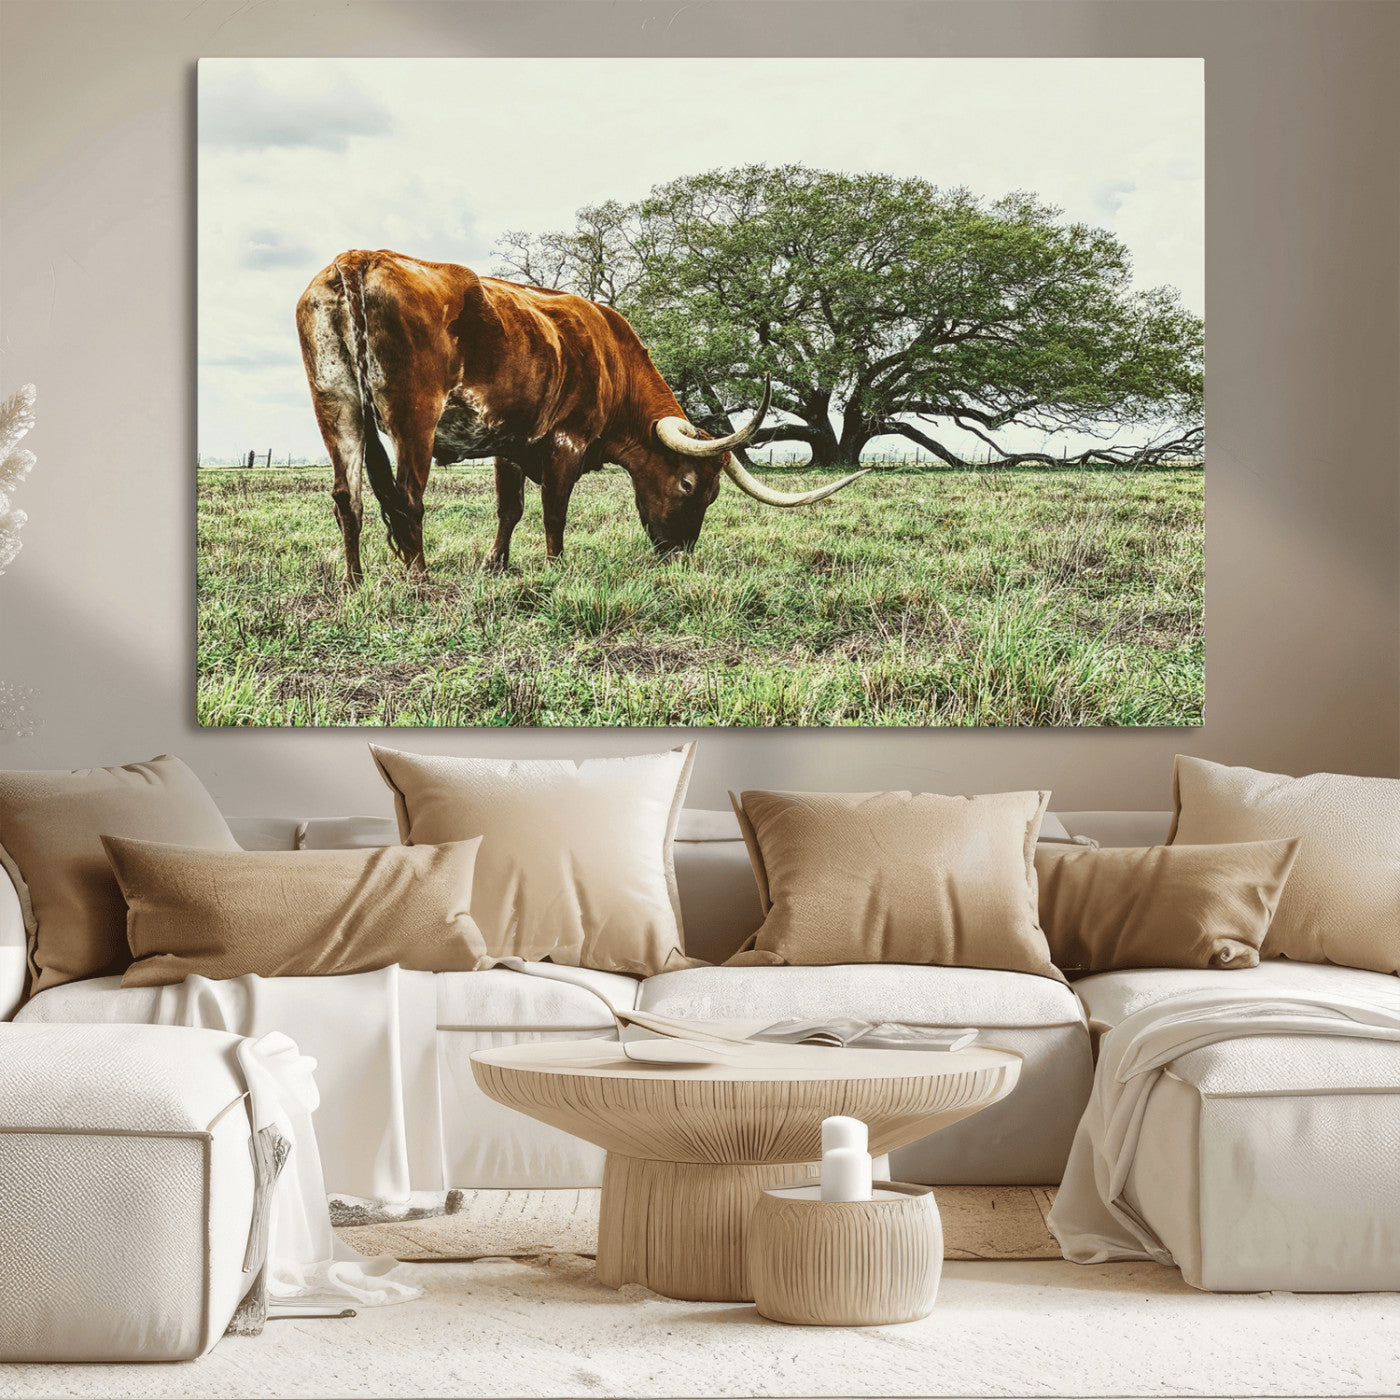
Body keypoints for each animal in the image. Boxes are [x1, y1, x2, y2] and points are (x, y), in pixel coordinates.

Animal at [295, 249, 866, 584]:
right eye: (689, 485)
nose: (679, 555)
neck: (612, 357)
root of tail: (358, 258)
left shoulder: (507, 442)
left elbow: (509, 510)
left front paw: (497, 565)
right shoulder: (566, 441)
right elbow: (554, 510)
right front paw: (556, 568)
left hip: (337, 407)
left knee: (348, 498)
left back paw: (354, 582)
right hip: (413, 414)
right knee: (408, 498)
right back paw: (419, 581)